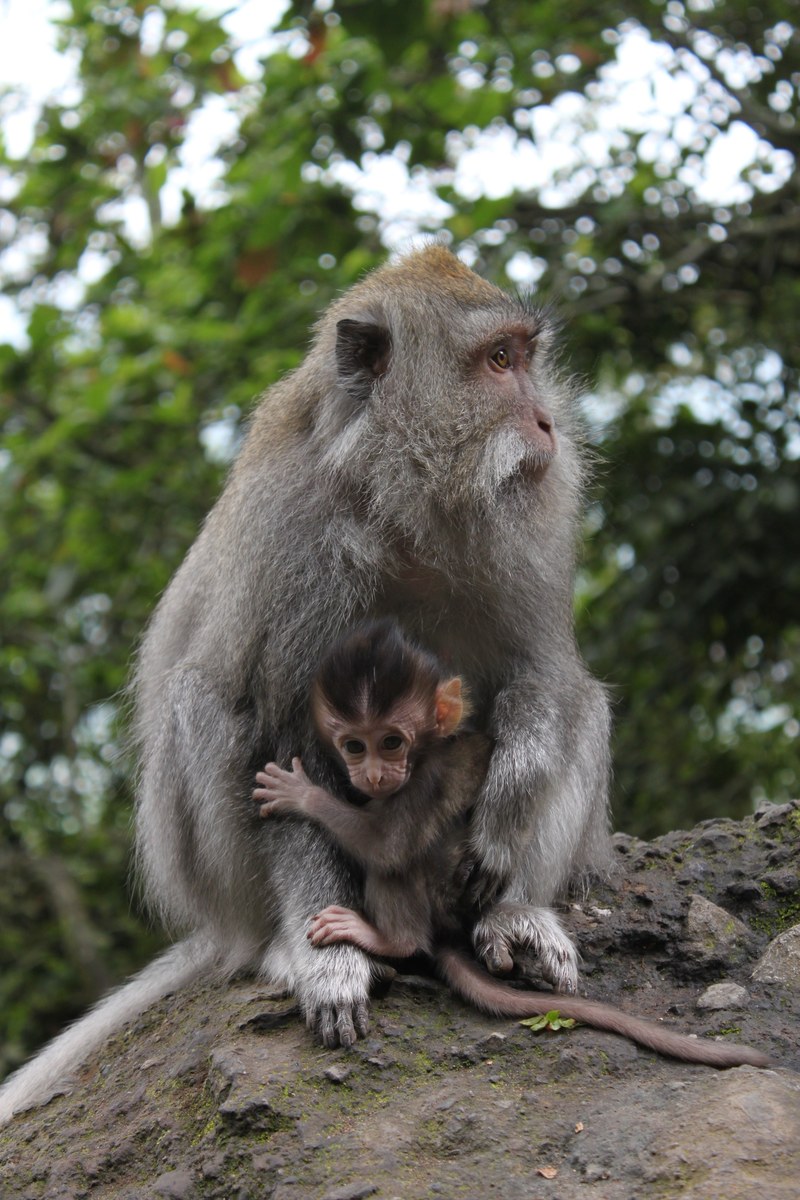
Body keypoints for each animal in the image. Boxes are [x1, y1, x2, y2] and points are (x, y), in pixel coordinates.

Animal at [0, 244, 652, 1120]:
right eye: (497, 361)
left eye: (525, 357)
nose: (547, 423)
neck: (397, 499)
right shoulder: (297, 550)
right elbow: (280, 743)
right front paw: (324, 958)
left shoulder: (528, 534)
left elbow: (543, 679)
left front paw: (506, 809)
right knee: (204, 706)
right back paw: (277, 943)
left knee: (580, 703)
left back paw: (511, 915)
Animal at [254, 621, 769, 1069]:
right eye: (355, 746)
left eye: (392, 742)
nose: (374, 776)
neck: (429, 750)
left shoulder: (427, 778)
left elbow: (389, 845)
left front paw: (302, 796)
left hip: (442, 894)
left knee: (398, 870)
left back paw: (390, 939)